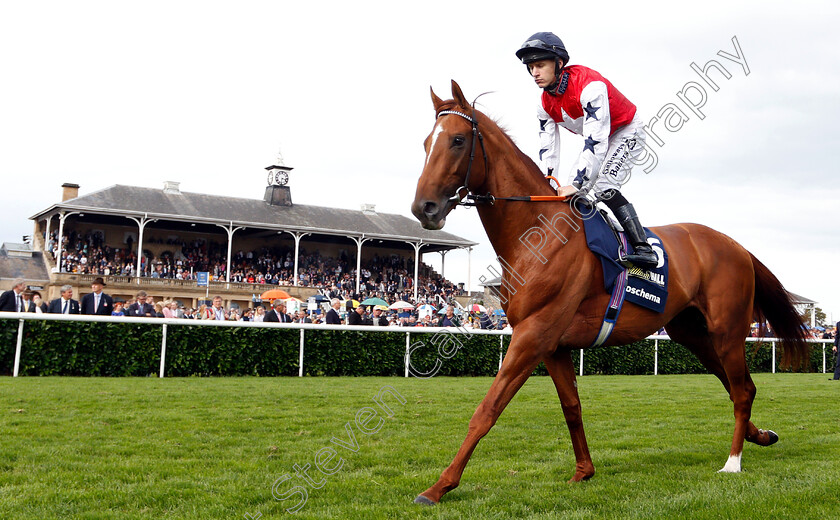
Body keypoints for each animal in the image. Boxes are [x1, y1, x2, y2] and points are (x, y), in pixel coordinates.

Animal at [410, 80, 812, 504]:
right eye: (426, 143)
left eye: (457, 140)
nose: (424, 207)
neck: (537, 234)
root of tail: (737, 246)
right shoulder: (553, 344)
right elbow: (571, 406)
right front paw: (583, 471)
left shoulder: (533, 335)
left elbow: (487, 410)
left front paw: (439, 486)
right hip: (692, 333)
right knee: (739, 387)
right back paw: (761, 435)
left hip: (728, 330)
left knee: (741, 390)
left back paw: (733, 462)